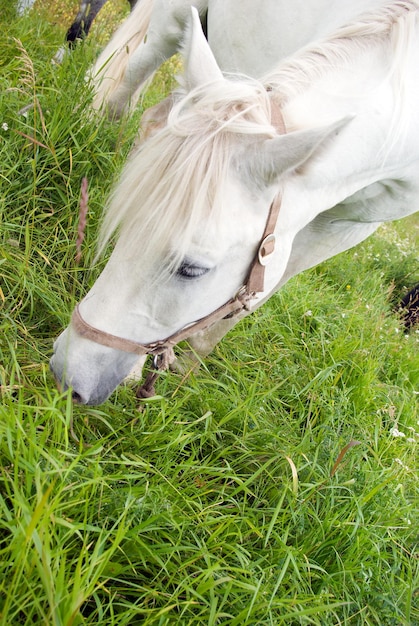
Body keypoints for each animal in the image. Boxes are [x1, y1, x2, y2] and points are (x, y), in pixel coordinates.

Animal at [51, 2, 419, 402]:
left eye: (192, 269)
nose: (65, 371)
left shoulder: (345, 226)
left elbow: (255, 297)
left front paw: (189, 367)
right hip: (172, 23)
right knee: (124, 90)